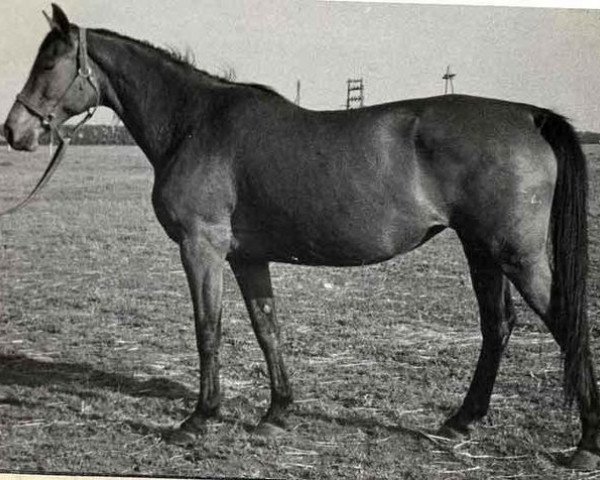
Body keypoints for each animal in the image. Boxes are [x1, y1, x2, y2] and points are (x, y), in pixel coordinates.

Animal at [4, 3, 600, 468]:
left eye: (49, 61)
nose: (15, 130)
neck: (195, 123)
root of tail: (527, 115)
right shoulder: (246, 258)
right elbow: (267, 328)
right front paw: (277, 413)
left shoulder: (201, 249)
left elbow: (207, 329)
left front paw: (200, 418)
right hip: (482, 251)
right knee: (497, 325)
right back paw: (462, 420)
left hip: (516, 255)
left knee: (566, 322)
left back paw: (585, 444)